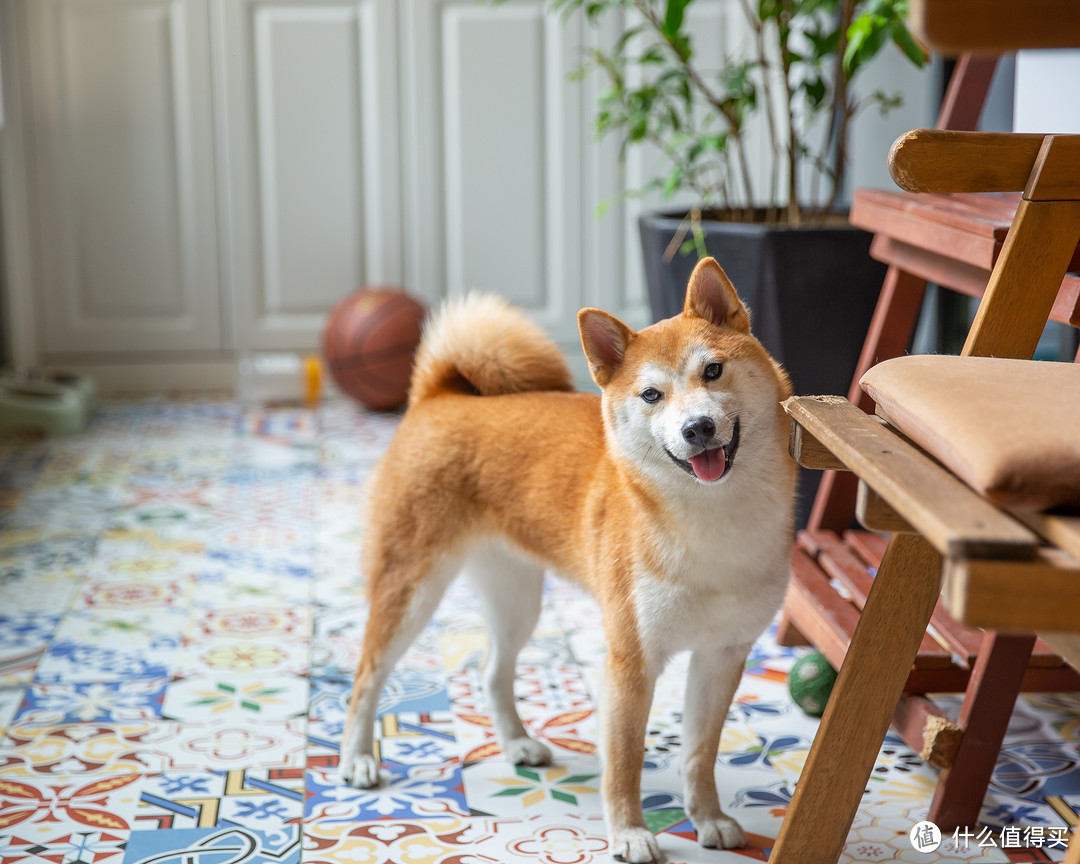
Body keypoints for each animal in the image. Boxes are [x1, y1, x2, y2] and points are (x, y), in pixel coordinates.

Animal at [341, 258, 799, 864]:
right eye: (651, 395)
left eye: (714, 371)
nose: (697, 427)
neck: (713, 522)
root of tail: (438, 397)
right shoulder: (631, 660)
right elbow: (623, 761)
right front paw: (629, 833)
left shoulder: (722, 655)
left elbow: (699, 754)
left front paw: (709, 819)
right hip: (412, 591)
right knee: (368, 674)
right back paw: (356, 758)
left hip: (518, 600)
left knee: (492, 671)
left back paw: (515, 743)